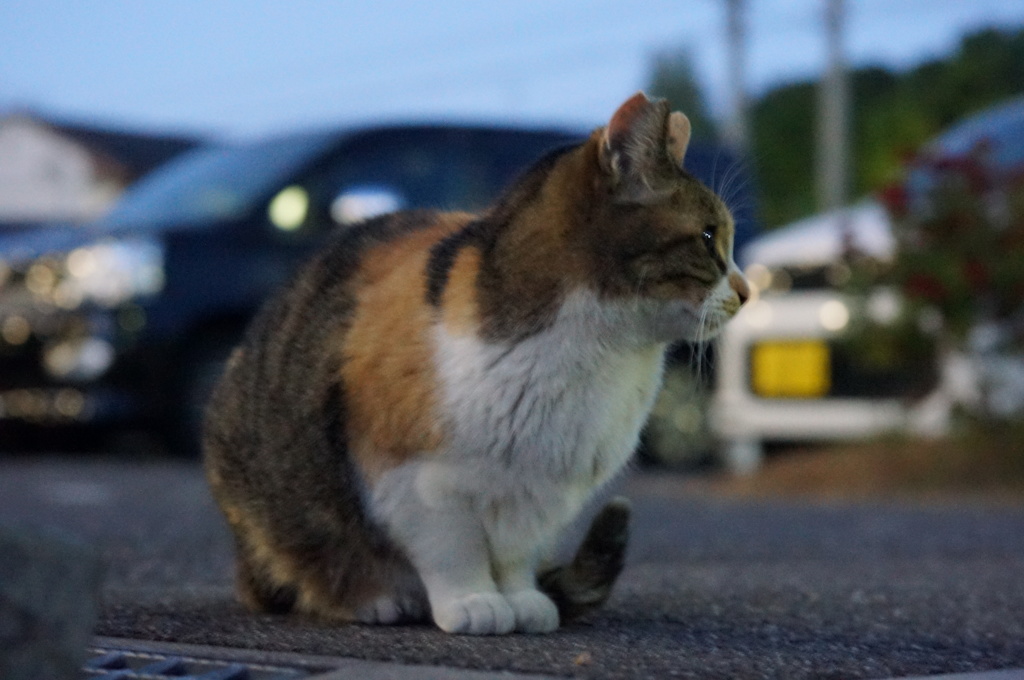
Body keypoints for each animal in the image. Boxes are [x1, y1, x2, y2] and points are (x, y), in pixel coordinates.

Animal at [203, 91, 749, 639]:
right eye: (708, 238)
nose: (748, 289)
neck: (603, 351)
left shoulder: (538, 496)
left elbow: (514, 558)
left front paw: (522, 601)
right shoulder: (412, 478)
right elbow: (453, 551)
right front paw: (473, 602)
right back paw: (377, 599)